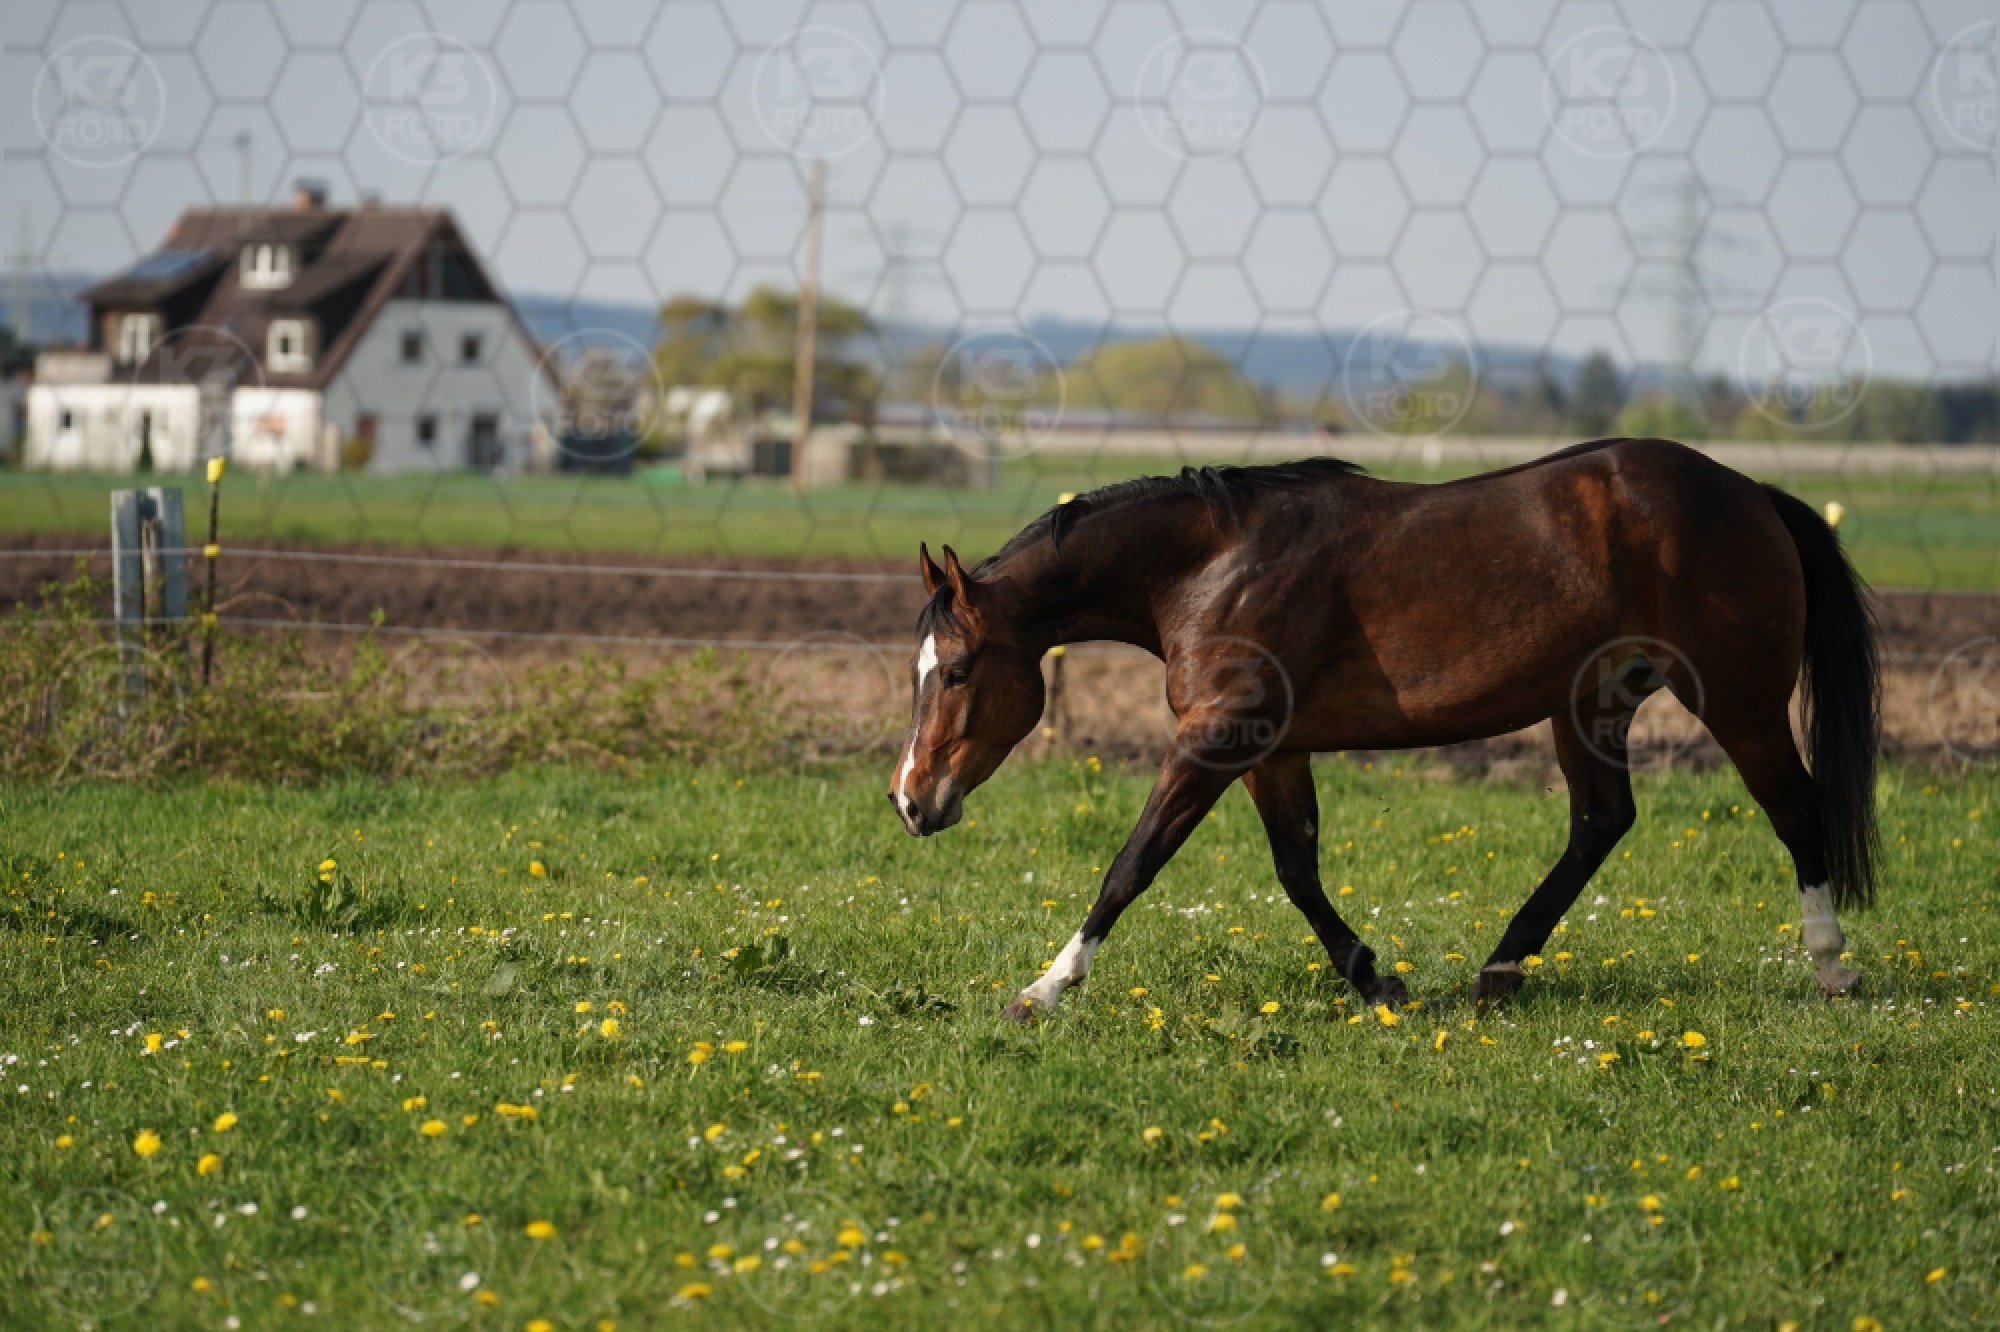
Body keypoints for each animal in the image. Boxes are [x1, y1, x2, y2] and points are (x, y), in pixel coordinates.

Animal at [888, 438, 1880, 1020]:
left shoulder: (1217, 738)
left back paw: (1833, 968)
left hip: (1739, 702)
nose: (910, 801)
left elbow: (1130, 865)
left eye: (960, 671)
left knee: (1795, 808)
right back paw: (1500, 972)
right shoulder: (1272, 748)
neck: (1212, 566)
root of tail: (1751, 491)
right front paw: (1376, 980)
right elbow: (1298, 871)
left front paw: (1045, 988)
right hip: (1589, 705)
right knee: (1601, 822)